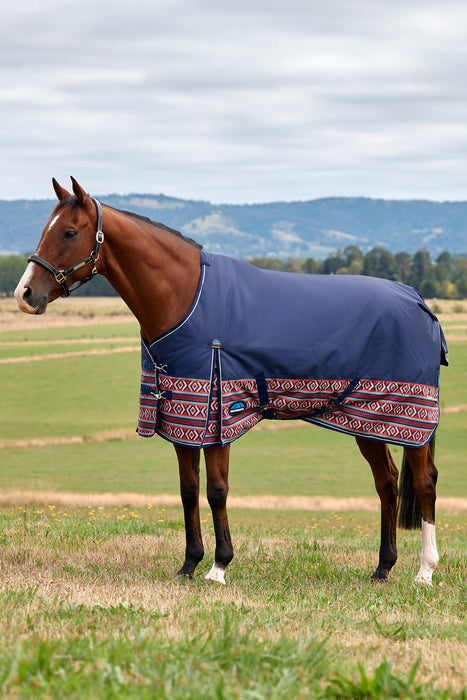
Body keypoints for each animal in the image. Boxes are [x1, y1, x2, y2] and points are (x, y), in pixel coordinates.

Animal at [14, 177, 447, 586]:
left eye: (69, 232)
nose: (25, 294)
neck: (184, 297)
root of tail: (419, 301)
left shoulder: (217, 414)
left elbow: (217, 490)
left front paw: (219, 567)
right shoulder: (180, 416)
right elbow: (189, 490)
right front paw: (189, 564)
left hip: (409, 419)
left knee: (424, 482)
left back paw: (424, 571)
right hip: (368, 419)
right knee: (387, 483)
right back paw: (382, 569)